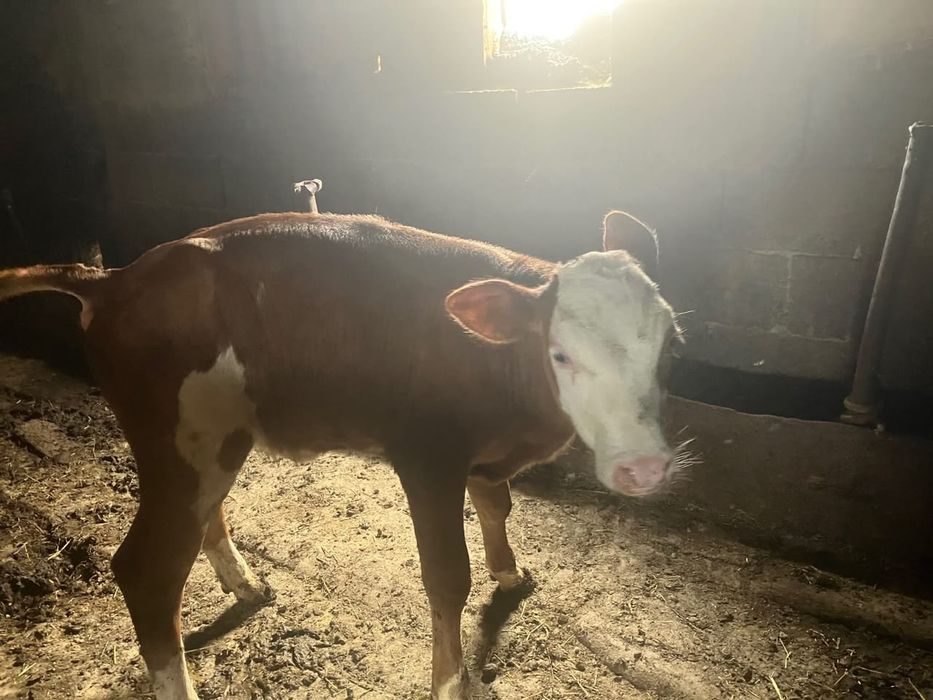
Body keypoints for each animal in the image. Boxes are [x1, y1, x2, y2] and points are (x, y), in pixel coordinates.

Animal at [0, 210, 684, 699]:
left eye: (671, 341)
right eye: (560, 353)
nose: (644, 467)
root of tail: (114, 278)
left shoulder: (484, 458)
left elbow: (497, 506)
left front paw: (510, 573)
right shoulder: (427, 456)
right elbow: (447, 577)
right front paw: (448, 682)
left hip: (207, 444)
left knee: (201, 519)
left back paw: (246, 583)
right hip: (177, 443)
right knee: (147, 571)